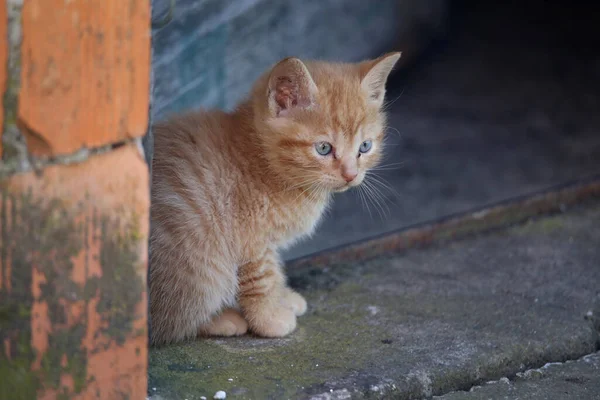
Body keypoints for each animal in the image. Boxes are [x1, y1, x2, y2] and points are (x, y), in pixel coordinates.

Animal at [148, 51, 400, 346]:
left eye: (365, 147)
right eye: (323, 148)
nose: (351, 175)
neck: (260, 159)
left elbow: (275, 269)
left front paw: (283, 299)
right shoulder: (249, 238)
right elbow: (262, 278)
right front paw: (270, 319)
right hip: (200, 266)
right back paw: (221, 319)